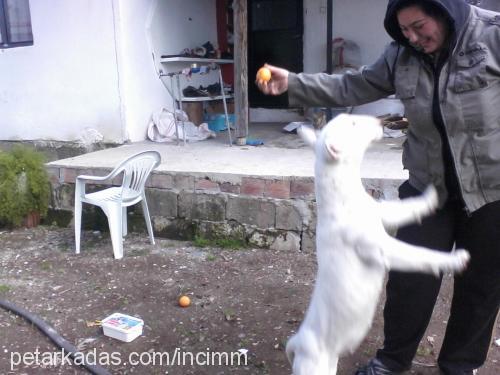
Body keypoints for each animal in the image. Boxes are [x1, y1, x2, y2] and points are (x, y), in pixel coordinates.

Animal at [288, 114, 470, 375]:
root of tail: (298, 341)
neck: (343, 197)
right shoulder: (381, 249)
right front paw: (455, 259)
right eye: (352, 125)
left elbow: (406, 207)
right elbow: (420, 254)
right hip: (315, 364)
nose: (380, 121)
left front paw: (430, 196)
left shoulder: (384, 212)